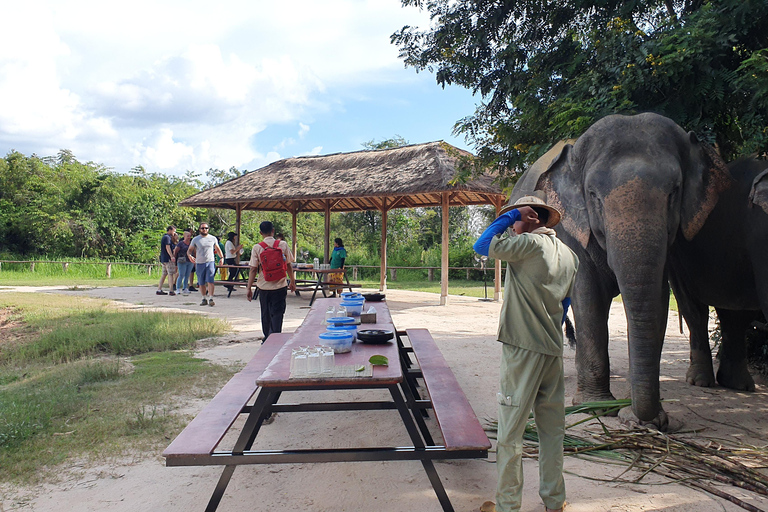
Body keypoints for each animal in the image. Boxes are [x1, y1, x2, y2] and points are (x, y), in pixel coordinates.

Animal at [510, 113, 732, 428]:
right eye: (593, 195)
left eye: (674, 192)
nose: (634, 416)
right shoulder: (570, 227)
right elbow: (587, 296)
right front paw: (596, 407)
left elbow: (657, 299)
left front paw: (648, 418)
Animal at [664, 156, 768, 388]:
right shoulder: (760, 231)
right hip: (678, 255)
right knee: (695, 310)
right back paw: (701, 381)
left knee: (736, 316)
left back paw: (739, 385)